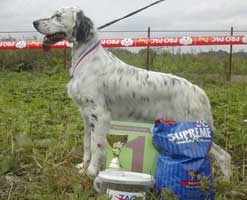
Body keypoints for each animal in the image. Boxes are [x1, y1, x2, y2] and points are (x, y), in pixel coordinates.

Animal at [33, 6, 232, 178]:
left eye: (58, 16)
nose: (35, 22)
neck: (86, 59)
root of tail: (198, 91)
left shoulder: (99, 114)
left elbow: (97, 145)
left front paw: (92, 172)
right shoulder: (85, 114)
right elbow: (87, 144)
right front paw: (83, 166)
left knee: (224, 155)